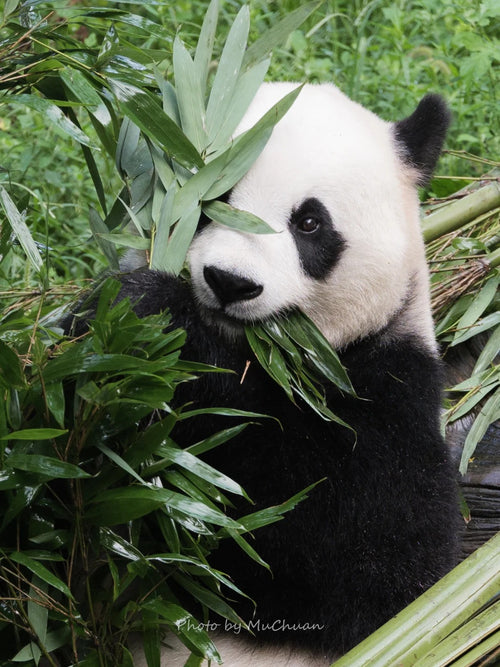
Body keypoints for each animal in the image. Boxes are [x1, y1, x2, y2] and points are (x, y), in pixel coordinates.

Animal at [75, 83, 460, 665]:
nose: (230, 282)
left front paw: (159, 315)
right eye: (213, 198)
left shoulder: (389, 394)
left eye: (309, 223)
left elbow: (336, 547)